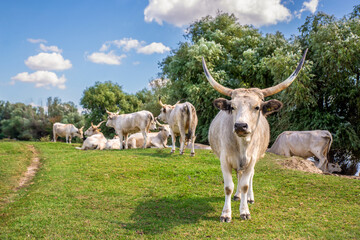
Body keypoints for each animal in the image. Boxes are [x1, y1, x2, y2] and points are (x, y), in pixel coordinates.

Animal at [201, 48, 308, 221]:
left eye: (257, 107)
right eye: (232, 107)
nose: (240, 125)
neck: (242, 145)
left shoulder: (251, 160)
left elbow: (245, 184)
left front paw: (244, 211)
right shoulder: (224, 160)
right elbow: (228, 187)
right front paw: (226, 213)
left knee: (249, 177)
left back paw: (248, 198)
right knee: (238, 176)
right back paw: (237, 196)